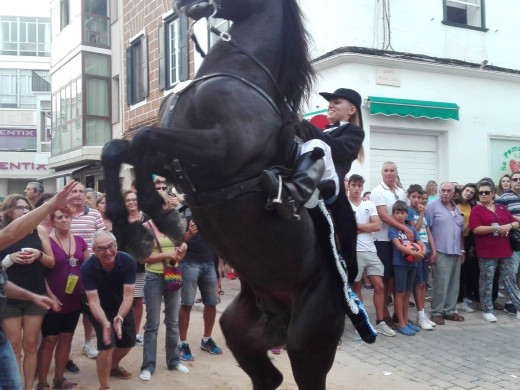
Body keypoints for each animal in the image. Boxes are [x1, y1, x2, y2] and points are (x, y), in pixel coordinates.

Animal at [101, 1, 372, 388]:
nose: (182, 5)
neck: (238, 73)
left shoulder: (219, 150)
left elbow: (142, 140)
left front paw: (161, 218)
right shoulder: (179, 161)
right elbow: (118, 149)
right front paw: (134, 228)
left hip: (308, 345)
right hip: (240, 335)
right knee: (268, 377)